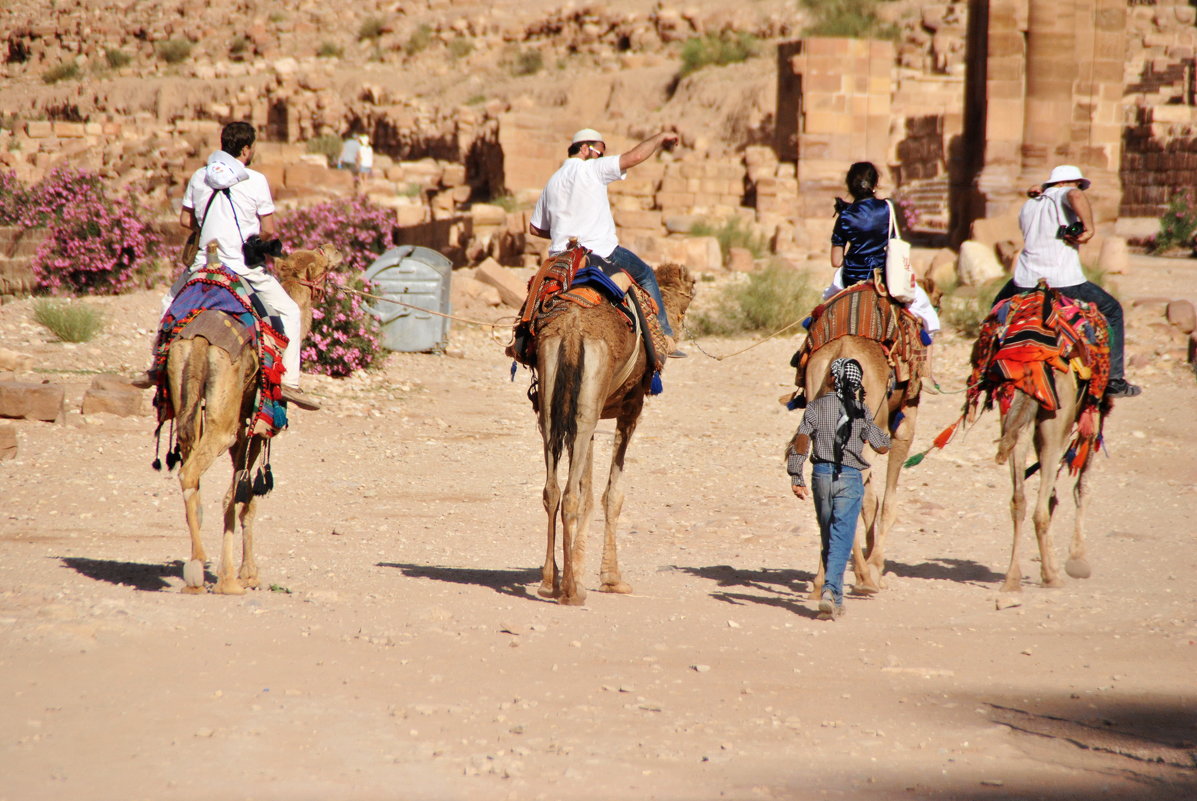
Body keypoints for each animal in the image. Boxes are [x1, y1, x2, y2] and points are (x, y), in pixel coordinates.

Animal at [167, 244, 342, 593]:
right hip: (221, 421)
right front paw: (243, 576)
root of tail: (200, 338)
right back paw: (199, 566)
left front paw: (232, 574)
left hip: (187, 401)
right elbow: (245, 498)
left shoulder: (241, 424)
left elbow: (233, 495)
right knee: (190, 474)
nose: (333, 248)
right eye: (320, 261)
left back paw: (195, 569)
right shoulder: (258, 428)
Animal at [531, 263, 694, 605]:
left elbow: (591, 493)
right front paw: (611, 579)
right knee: (570, 494)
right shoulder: (631, 410)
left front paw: (580, 571)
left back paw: (550, 582)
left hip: (557, 402)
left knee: (553, 489)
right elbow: (612, 495)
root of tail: (572, 329)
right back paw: (570, 592)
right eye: (688, 298)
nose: (675, 335)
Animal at [799, 335, 919, 596]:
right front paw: (876, 567)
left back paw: (821, 582)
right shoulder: (904, 420)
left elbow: (870, 503)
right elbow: (886, 504)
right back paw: (864, 578)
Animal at [991, 375, 1096, 605]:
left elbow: (1052, 496)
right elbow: (1083, 485)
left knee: (1019, 500)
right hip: (1055, 427)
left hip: (1016, 424)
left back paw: (1013, 581)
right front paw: (1077, 558)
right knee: (1039, 511)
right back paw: (1051, 579)